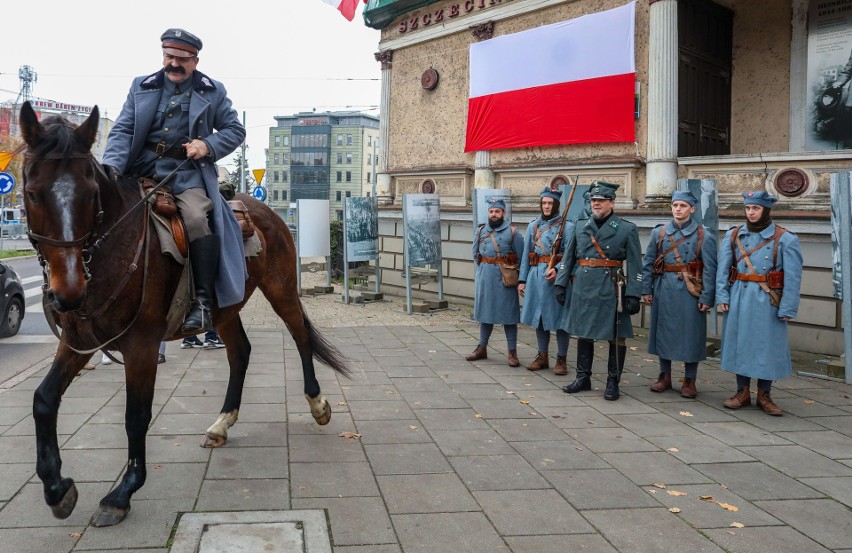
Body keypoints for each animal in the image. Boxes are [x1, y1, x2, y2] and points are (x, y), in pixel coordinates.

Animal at [18, 101, 348, 528]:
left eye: (91, 193)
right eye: (32, 193)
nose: (67, 292)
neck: (113, 249)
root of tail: (265, 210)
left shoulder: (142, 346)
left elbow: (136, 415)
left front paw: (122, 493)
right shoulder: (78, 342)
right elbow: (43, 400)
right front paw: (57, 488)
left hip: (281, 291)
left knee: (300, 336)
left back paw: (317, 405)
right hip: (225, 307)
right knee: (240, 352)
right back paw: (222, 423)